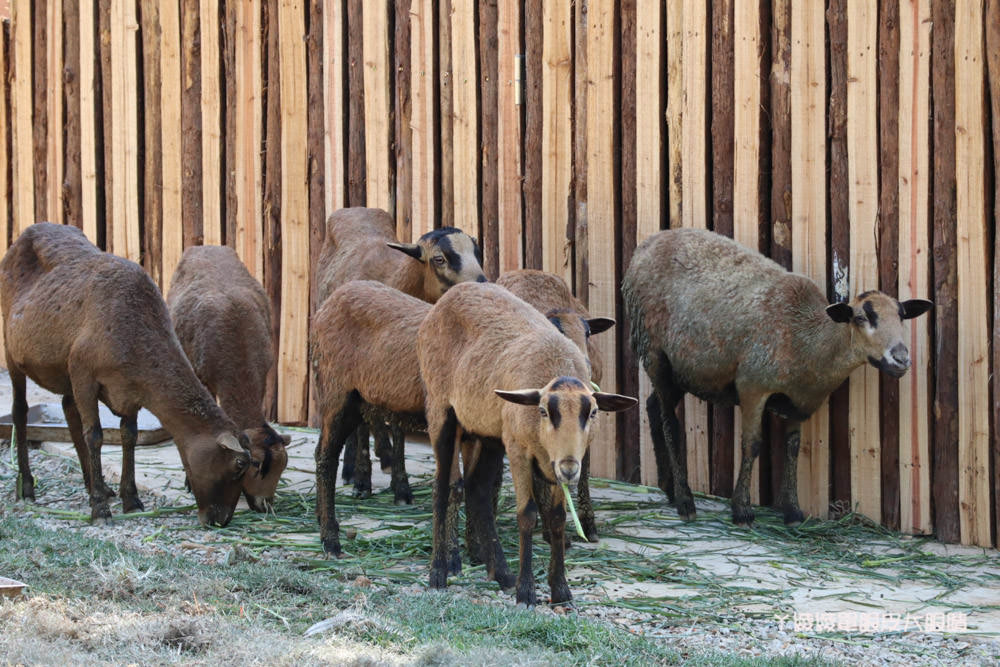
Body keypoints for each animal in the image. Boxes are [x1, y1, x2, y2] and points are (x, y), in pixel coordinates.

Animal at [2, 224, 254, 528]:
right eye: (238, 465)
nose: (220, 519)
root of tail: (24, 233)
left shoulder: (129, 389)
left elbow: (129, 435)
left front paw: (130, 499)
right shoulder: (84, 372)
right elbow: (95, 435)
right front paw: (100, 510)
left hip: (64, 369)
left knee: (67, 408)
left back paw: (93, 484)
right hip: (12, 349)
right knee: (20, 411)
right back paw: (27, 487)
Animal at [166, 245, 292, 512]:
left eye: (283, 466)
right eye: (256, 465)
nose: (265, 505)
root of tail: (205, 245)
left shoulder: (264, 374)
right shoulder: (202, 374)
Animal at [418, 284, 636, 608]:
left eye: (593, 413)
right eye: (543, 410)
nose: (570, 468)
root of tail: (453, 293)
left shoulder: (549, 461)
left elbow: (557, 517)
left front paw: (560, 590)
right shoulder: (520, 450)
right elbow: (527, 514)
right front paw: (527, 591)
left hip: (490, 432)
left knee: (477, 490)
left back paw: (502, 574)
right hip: (441, 410)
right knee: (442, 488)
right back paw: (438, 573)